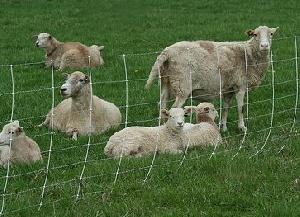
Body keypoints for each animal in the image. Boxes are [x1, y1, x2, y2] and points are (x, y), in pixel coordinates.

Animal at [145, 26, 278, 133]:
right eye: (255, 34)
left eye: (271, 34)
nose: (264, 46)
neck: (248, 54)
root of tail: (167, 52)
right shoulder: (240, 86)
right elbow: (241, 108)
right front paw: (242, 128)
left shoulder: (228, 88)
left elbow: (225, 108)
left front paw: (223, 128)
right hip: (182, 85)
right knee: (174, 108)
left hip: (166, 81)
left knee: (162, 105)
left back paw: (163, 128)